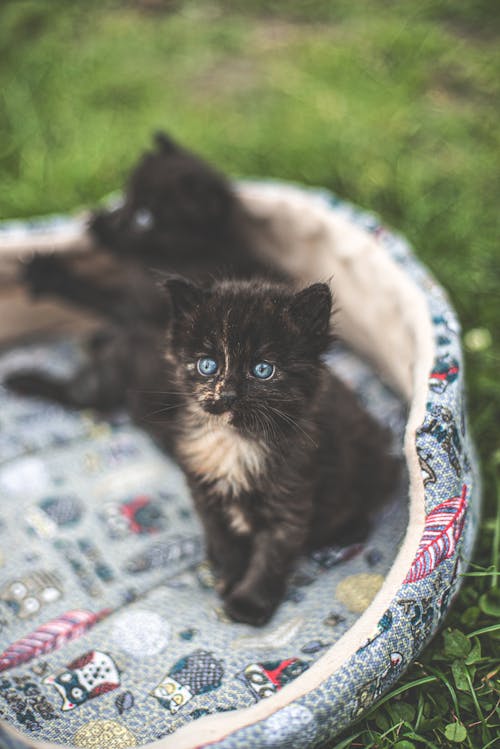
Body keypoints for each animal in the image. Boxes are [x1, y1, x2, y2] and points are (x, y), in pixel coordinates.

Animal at [5, 276, 398, 624]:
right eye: (208, 365)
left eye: (263, 370)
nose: (226, 395)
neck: (235, 441)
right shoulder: (203, 490)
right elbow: (224, 539)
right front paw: (230, 575)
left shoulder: (291, 498)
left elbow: (271, 555)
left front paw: (249, 603)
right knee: (80, 392)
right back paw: (23, 379)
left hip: (374, 457)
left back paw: (349, 530)